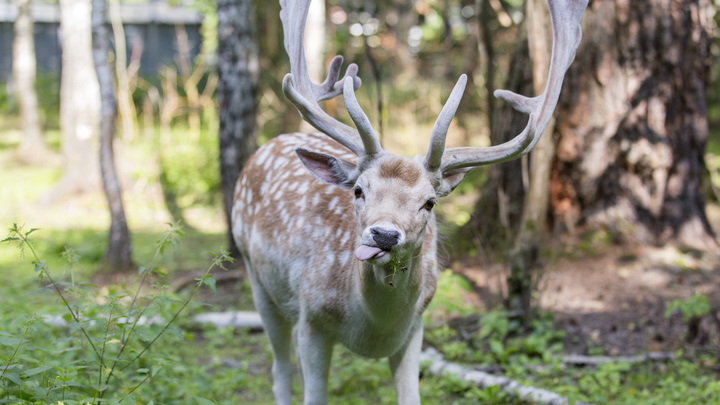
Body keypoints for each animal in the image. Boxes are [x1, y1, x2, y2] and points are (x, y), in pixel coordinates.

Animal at [231, 0, 584, 402]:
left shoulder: (416, 327)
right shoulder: (312, 318)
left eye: (429, 202)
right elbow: (314, 393)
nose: (383, 234)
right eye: (358, 190)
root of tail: (270, 143)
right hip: (258, 280)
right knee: (280, 369)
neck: (374, 326)